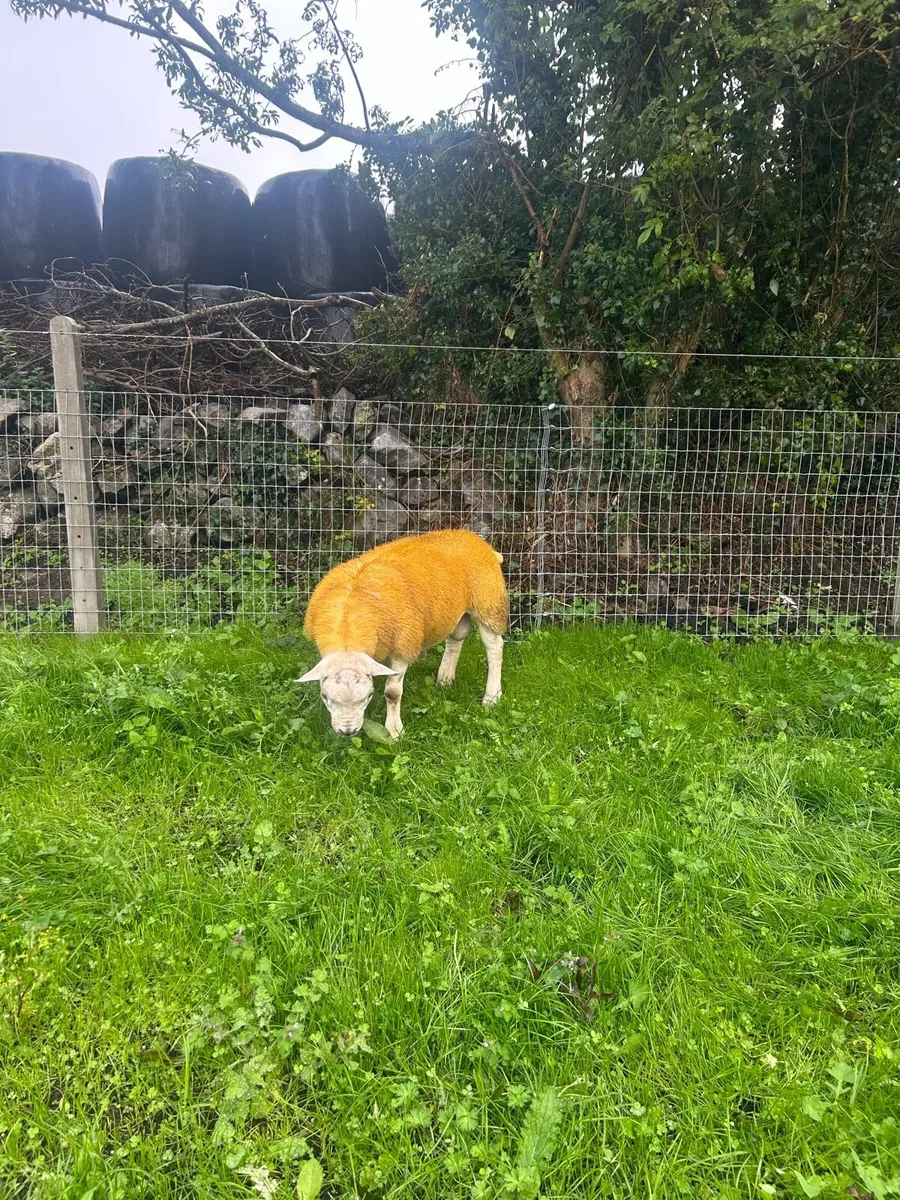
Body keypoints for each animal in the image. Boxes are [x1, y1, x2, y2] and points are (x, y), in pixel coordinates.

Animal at [298, 529, 508, 738]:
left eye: (368, 696)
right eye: (325, 696)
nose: (347, 731)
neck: (347, 631)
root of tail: (473, 537)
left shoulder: (402, 645)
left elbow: (392, 693)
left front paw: (394, 731)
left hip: (488, 604)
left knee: (494, 648)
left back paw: (492, 697)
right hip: (456, 610)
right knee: (456, 638)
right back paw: (445, 679)